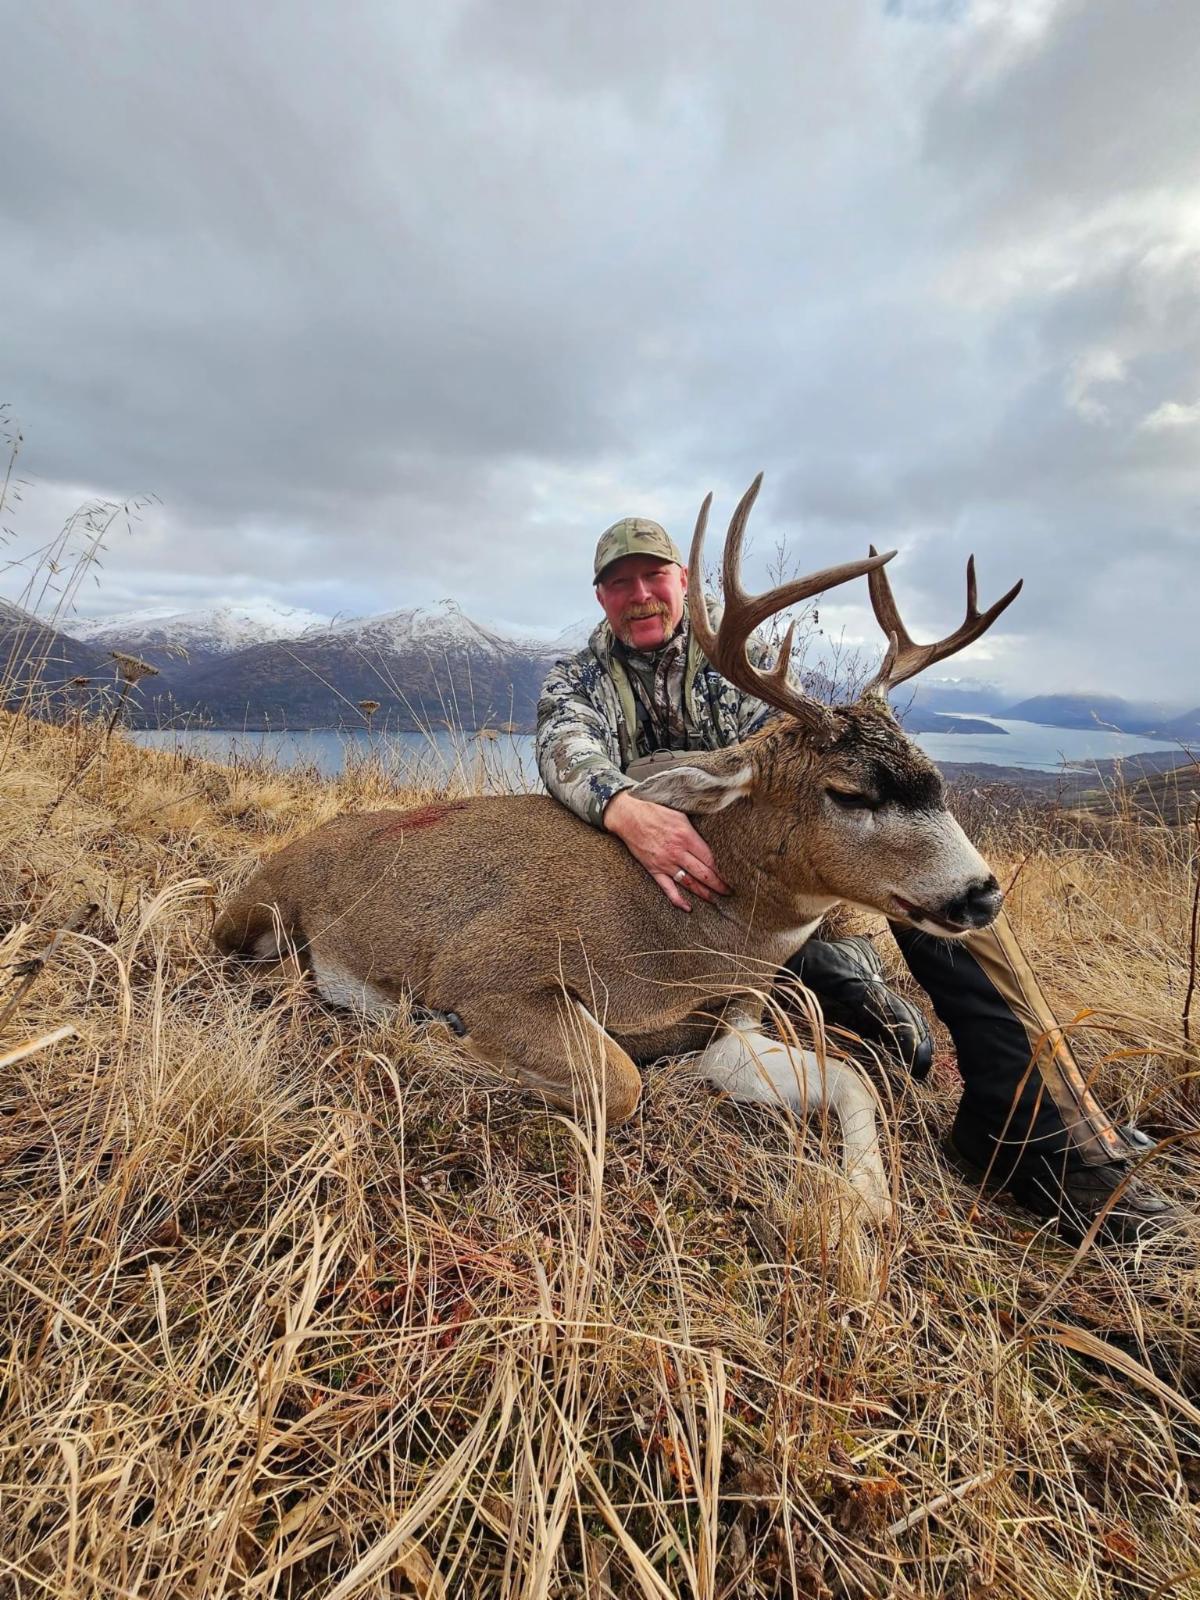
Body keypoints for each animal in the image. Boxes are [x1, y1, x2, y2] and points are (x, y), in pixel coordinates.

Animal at [213, 476, 1021, 1223]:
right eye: (849, 793)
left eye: (935, 776)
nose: (982, 892)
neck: (685, 937)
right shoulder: (492, 971)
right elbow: (622, 1082)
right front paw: (444, 1041)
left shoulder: (729, 1026)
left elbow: (854, 1080)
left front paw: (863, 1200)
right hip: (260, 913)